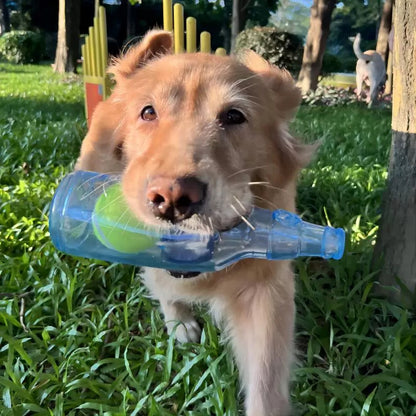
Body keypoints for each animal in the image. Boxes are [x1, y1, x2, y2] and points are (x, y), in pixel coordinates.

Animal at [75, 30, 308, 416]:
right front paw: (179, 321)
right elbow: (162, 283)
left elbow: (266, 380)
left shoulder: (267, 287)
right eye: (148, 112)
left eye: (234, 115)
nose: (173, 198)